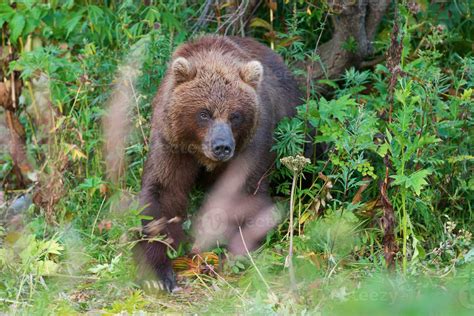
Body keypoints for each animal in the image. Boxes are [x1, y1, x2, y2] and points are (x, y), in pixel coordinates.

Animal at [138, 35, 300, 292]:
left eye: (235, 115)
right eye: (204, 113)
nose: (221, 146)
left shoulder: (251, 145)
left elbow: (246, 196)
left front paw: (232, 254)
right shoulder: (171, 143)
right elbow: (163, 194)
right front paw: (159, 274)